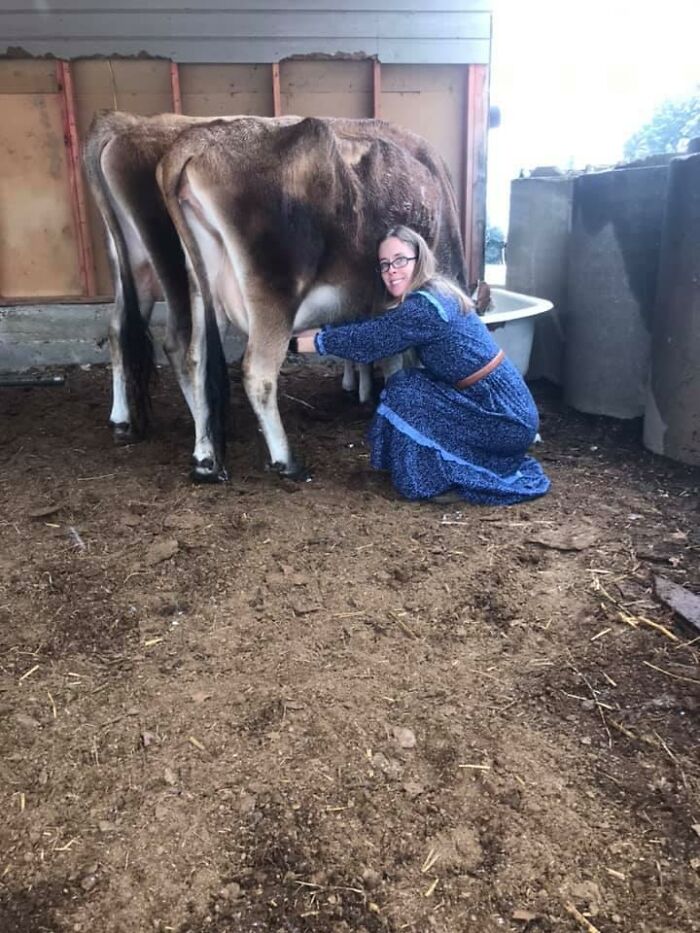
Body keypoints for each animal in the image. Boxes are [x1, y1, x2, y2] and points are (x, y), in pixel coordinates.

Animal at [156, 115, 467, 481]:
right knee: (257, 372)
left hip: (202, 288)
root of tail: (197, 139)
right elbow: (396, 360)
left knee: (195, 360)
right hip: (274, 294)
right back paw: (285, 460)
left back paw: (204, 459)